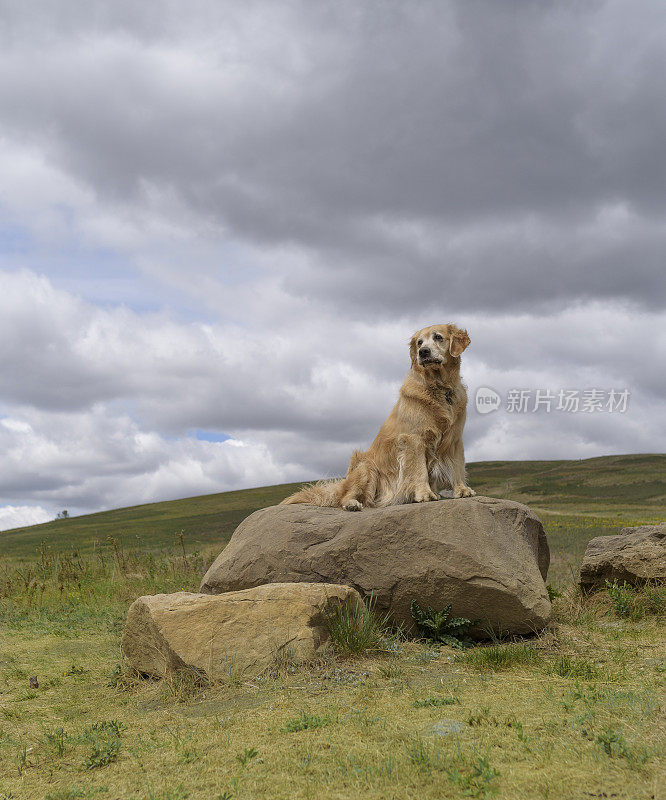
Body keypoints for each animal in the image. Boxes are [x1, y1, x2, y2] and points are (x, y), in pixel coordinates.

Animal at [278, 324, 472, 512]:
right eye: (419, 342)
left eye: (438, 337)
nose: (423, 352)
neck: (439, 388)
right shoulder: (414, 439)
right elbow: (419, 469)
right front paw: (424, 493)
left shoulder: (454, 438)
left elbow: (457, 466)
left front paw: (461, 489)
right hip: (366, 469)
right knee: (346, 497)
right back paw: (352, 504)